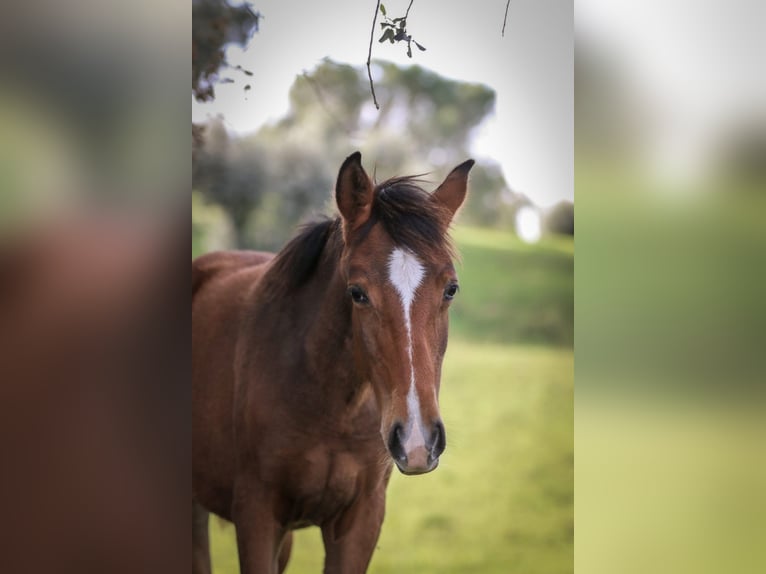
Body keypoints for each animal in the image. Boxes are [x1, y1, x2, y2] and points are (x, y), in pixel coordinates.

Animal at [192, 153, 474, 574]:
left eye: (451, 289)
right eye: (357, 293)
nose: (417, 440)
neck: (332, 407)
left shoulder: (360, 521)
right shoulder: (256, 515)